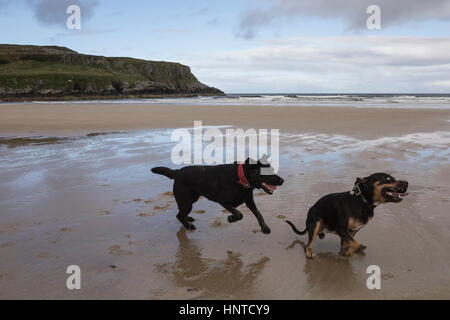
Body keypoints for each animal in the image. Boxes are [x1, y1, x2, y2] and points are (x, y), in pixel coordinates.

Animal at [153, 158, 284, 235]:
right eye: (267, 172)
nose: (282, 180)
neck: (240, 177)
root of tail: (177, 172)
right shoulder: (223, 201)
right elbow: (239, 214)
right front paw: (230, 218)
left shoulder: (249, 200)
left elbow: (258, 214)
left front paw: (264, 228)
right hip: (187, 202)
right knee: (178, 215)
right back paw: (188, 226)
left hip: (191, 199)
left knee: (180, 213)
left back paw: (188, 219)